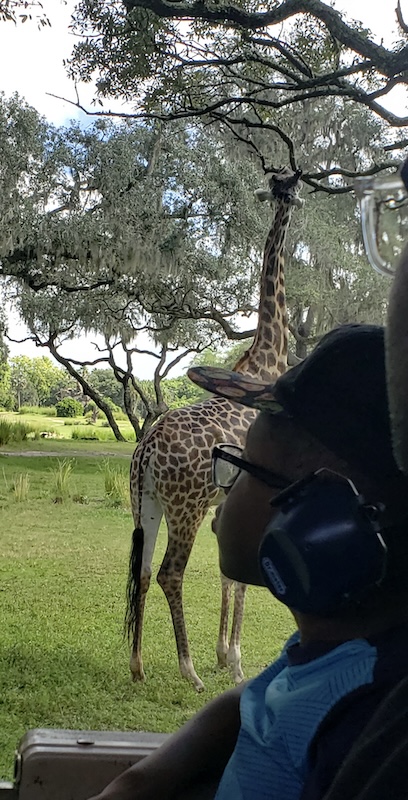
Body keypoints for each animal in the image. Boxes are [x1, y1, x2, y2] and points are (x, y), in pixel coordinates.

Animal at [127, 166, 302, 692]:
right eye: (290, 188)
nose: (290, 198)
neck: (267, 361)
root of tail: (146, 451)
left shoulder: (227, 499)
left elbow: (230, 574)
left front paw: (225, 655)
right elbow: (241, 575)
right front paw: (236, 662)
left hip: (146, 503)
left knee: (143, 570)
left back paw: (137, 665)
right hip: (183, 508)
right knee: (169, 573)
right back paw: (188, 671)